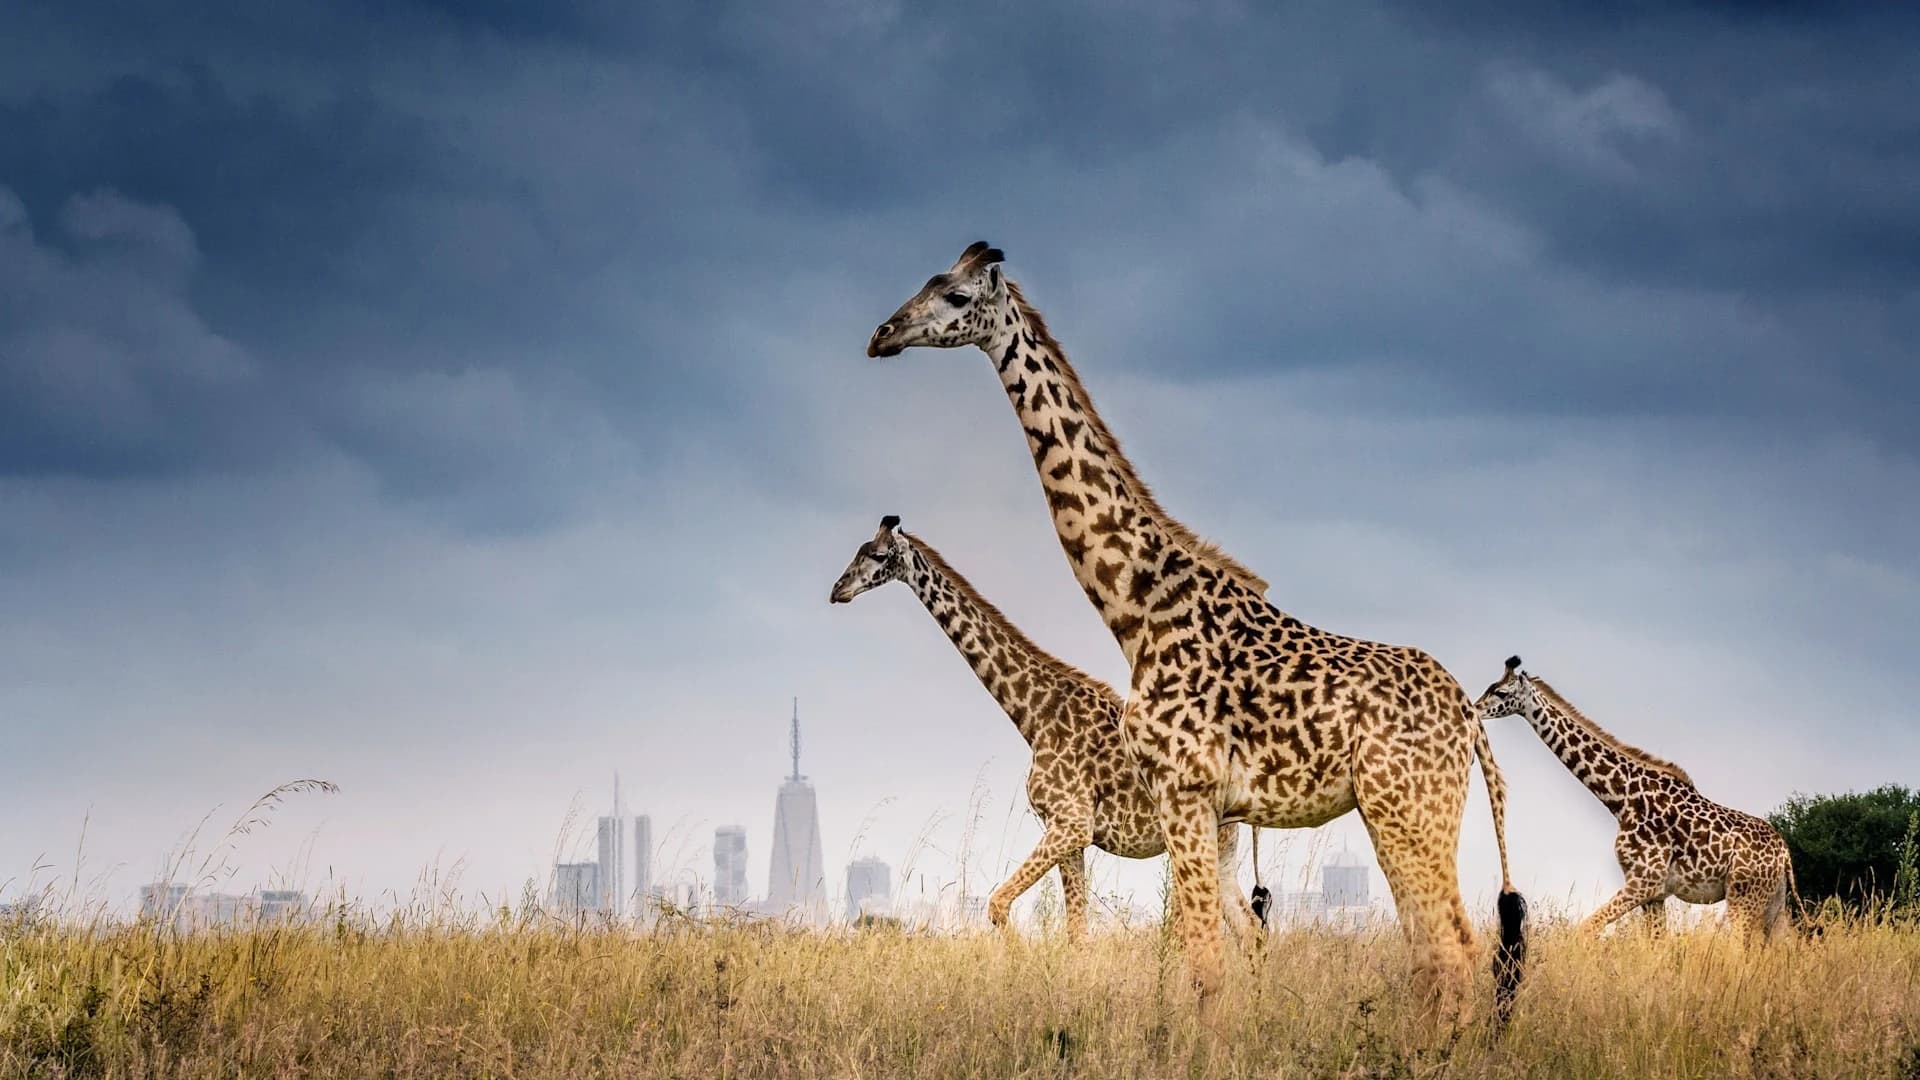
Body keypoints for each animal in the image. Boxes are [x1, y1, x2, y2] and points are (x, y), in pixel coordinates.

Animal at [829, 514, 1259, 942]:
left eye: (878, 554)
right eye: (858, 551)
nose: (838, 590)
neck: (1035, 717)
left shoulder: (1072, 824)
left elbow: (999, 903)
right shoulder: (1067, 833)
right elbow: (1076, 931)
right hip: (1221, 847)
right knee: (1249, 925)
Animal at [1476, 656, 1798, 941]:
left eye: (1501, 692)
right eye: (1489, 687)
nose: (1475, 709)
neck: (1622, 799)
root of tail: (1784, 853)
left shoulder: (1643, 882)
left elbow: (1586, 929)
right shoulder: (1654, 894)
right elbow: (1656, 945)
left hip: (1743, 896)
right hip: (1771, 903)